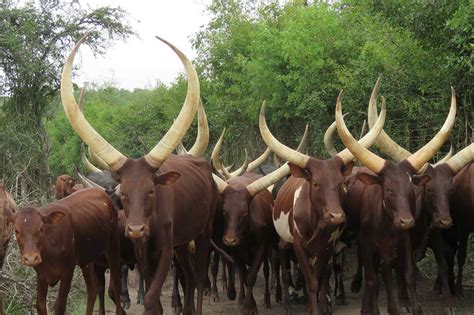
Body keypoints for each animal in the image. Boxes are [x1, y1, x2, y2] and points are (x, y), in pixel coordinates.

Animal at [59, 35, 217, 315]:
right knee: (188, 275)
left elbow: (153, 298)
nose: (134, 229)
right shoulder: (143, 253)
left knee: (198, 276)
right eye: (123, 193)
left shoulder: (164, 251)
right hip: (182, 243)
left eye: (152, 190)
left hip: (203, 232)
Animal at [260, 90, 388, 314]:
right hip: (283, 244)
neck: (315, 222)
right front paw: (312, 306)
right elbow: (310, 280)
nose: (336, 216)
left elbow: (322, 277)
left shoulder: (328, 247)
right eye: (316, 183)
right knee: (284, 270)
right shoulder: (299, 247)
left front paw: (325, 302)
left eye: (340, 183)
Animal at [336, 89, 458, 315]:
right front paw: (376, 308)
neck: (386, 226)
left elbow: (407, 274)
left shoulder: (403, 245)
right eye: (388, 189)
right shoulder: (367, 245)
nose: (406, 221)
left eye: (411, 190)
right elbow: (373, 279)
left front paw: (413, 307)